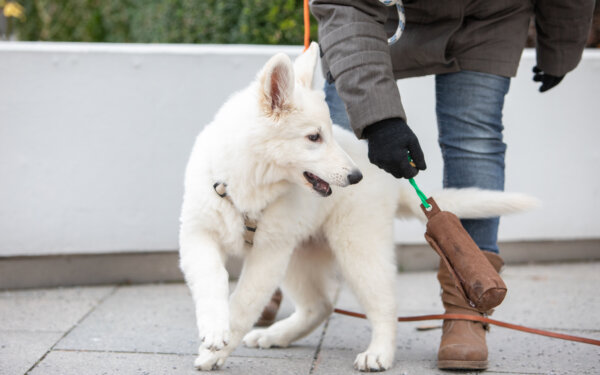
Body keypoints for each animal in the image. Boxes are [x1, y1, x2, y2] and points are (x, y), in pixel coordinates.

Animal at [177, 42, 536, 372]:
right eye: (314, 137)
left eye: (327, 135)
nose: (355, 177)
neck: (249, 182)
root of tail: (392, 179)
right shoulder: (199, 235)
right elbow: (213, 279)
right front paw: (214, 331)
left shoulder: (268, 253)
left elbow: (242, 303)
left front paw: (216, 350)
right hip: (298, 255)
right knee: (320, 306)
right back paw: (276, 335)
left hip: (357, 248)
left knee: (384, 304)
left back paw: (379, 353)